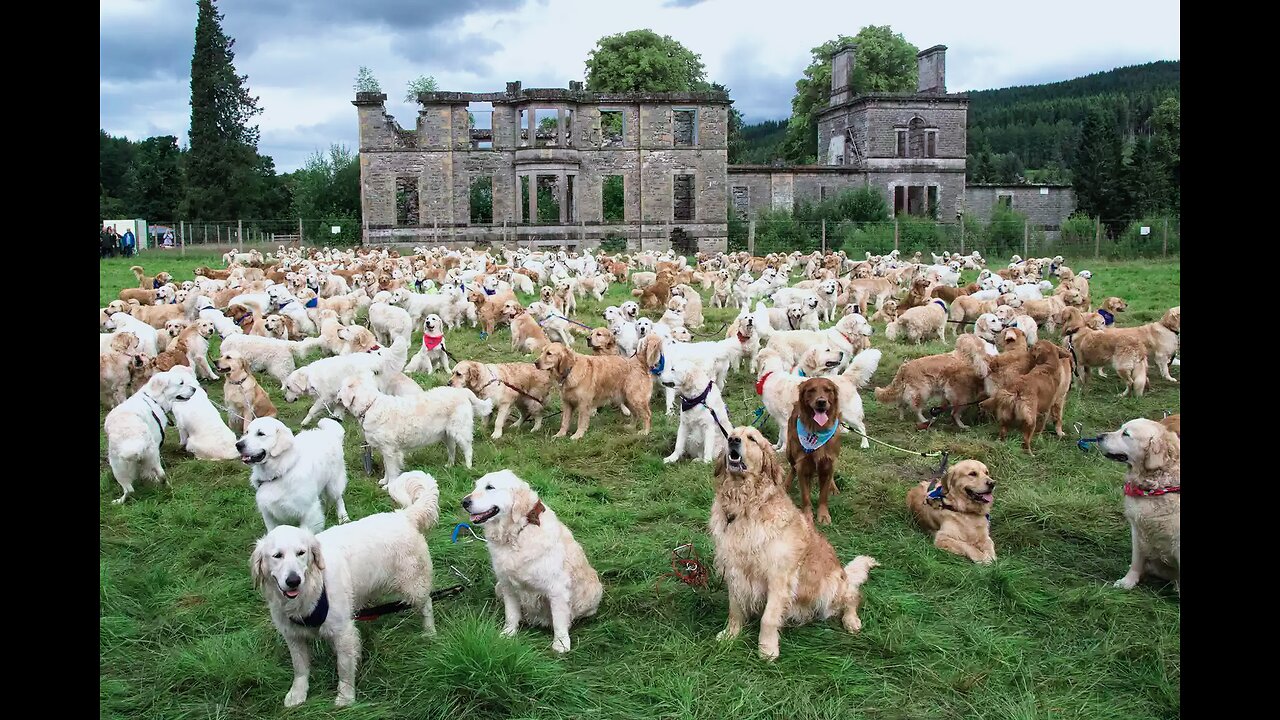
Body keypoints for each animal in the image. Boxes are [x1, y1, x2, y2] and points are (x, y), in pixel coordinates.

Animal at [249, 471, 440, 707]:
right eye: (277, 556)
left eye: (301, 553)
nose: (293, 580)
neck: (312, 592)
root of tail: (404, 516)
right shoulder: (293, 635)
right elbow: (300, 668)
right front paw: (298, 693)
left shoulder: (343, 632)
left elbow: (344, 668)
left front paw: (345, 698)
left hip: (414, 585)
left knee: (427, 604)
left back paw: (429, 632)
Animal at [460, 468, 599, 653]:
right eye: (475, 486)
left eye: (490, 487)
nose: (464, 502)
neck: (517, 533)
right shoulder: (507, 584)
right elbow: (511, 613)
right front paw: (508, 633)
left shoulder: (557, 587)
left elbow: (559, 620)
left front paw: (561, 643)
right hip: (498, 587)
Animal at [711, 422, 880, 661]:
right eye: (731, 435)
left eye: (752, 439)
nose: (733, 441)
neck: (745, 505)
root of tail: (844, 574)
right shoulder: (735, 570)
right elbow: (735, 609)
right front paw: (730, 635)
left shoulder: (779, 577)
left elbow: (768, 618)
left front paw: (767, 649)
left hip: (831, 588)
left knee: (852, 596)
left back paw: (851, 620)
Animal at [783, 376, 844, 520]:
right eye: (811, 390)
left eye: (828, 390)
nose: (821, 402)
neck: (817, 430)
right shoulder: (803, 465)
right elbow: (805, 495)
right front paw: (807, 515)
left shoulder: (828, 462)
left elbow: (823, 495)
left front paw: (823, 515)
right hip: (789, 450)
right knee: (793, 468)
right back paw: (786, 484)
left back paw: (833, 487)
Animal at [1100, 417, 1177, 591]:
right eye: (1120, 428)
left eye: (1126, 434)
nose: (1099, 436)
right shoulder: (1138, 529)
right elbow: (1136, 560)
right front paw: (1128, 582)